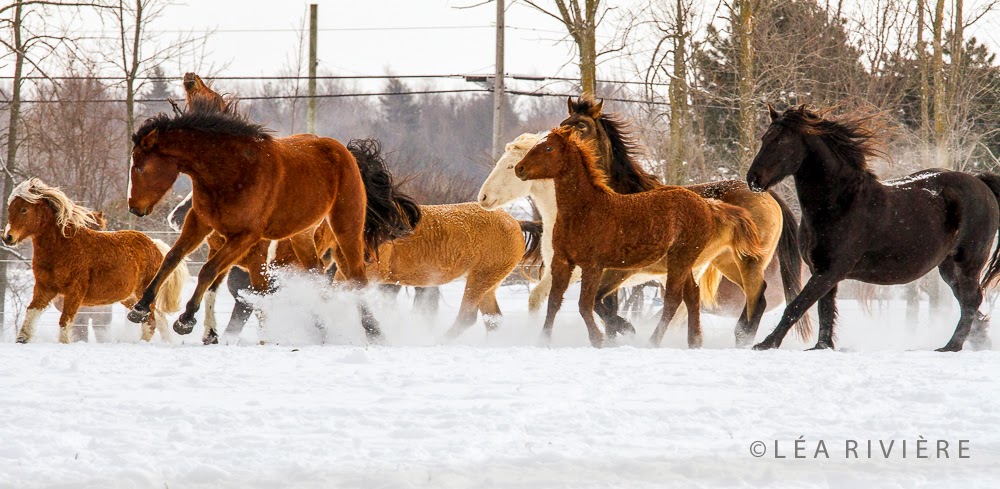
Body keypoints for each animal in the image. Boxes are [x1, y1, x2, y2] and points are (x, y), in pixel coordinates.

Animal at [3, 178, 189, 344]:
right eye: (10, 208)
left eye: (24, 209)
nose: (7, 237)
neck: (62, 247)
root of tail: (154, 245)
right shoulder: (44, 288)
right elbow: (31, 313)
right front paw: (21, 340)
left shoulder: (74, 292)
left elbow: (66, 321)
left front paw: (64, 343)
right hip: (129, 298)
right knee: (157, 319)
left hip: (141, 294)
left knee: (151, 322)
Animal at [127, 98, 420, 340]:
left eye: (140, 167)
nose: (134, 207)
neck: (232, 171)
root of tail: (346, 153)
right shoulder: (201, 222)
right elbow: (172, 258)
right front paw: (140, 308)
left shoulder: (245, 236)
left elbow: (208, 270)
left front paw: (186, 320)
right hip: (302, 234)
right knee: (316, 273)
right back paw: (321, 328)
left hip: (346, 226)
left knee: (357, 278)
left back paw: (373, 331)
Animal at [560, 95, 808, 346]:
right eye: (564, 122)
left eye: (582, 126)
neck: (623, 197)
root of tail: (767, 194)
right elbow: (605, 306)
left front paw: (627, 330)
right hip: (727, 261)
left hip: (748, 261)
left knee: (756, 299)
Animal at [748, 106, 996, 350]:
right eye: (764, 138)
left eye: (782, 140)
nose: (753, 179)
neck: (839, 203)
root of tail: (982, 184)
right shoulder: (820, 269)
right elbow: (825, 310)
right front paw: (822, 346)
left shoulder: (831, 270)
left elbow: (797, 306)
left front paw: (766, 344)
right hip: (948, 266)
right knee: (968, 300)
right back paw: (978, 341)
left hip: (968, 262)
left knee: (971, 300)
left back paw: (951, 346)